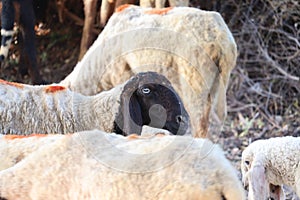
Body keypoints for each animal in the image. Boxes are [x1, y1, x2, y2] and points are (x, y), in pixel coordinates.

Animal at [61, 5, 238, 138]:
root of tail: (220, 38)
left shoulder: (122, 76)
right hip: (219, 80)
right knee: (217, 120)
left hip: (195, 78)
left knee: (201, 122)